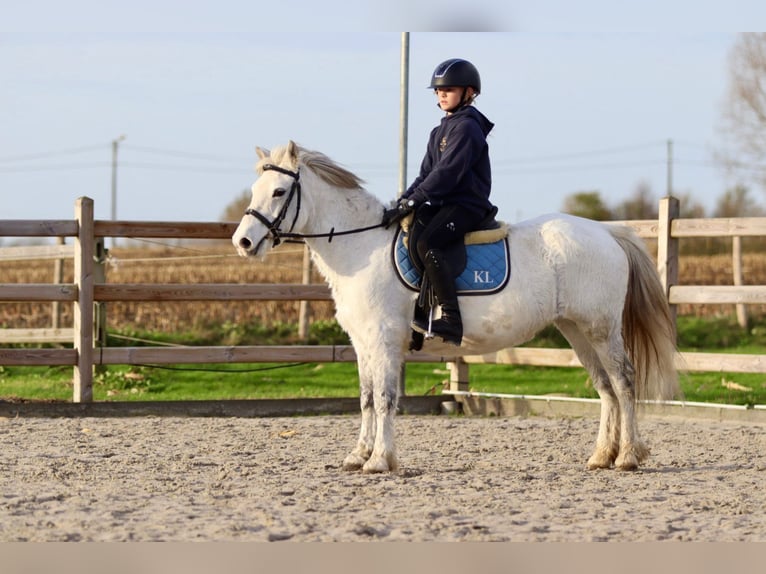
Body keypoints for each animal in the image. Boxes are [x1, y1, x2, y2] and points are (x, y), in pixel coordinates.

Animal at [232, 142, 680, 474]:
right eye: (255, 190)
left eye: (278, 192)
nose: (243, 243)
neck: (361, 246)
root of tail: (606, 232)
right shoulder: (363, 344)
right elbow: (365, 399)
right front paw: (358, 456)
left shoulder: (384, 341)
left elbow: (386, 399)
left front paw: (380, 460)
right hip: (576, 330)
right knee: (605, 387)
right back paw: (602, 456)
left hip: (600, 328)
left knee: (623, 382)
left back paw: (628, 456)